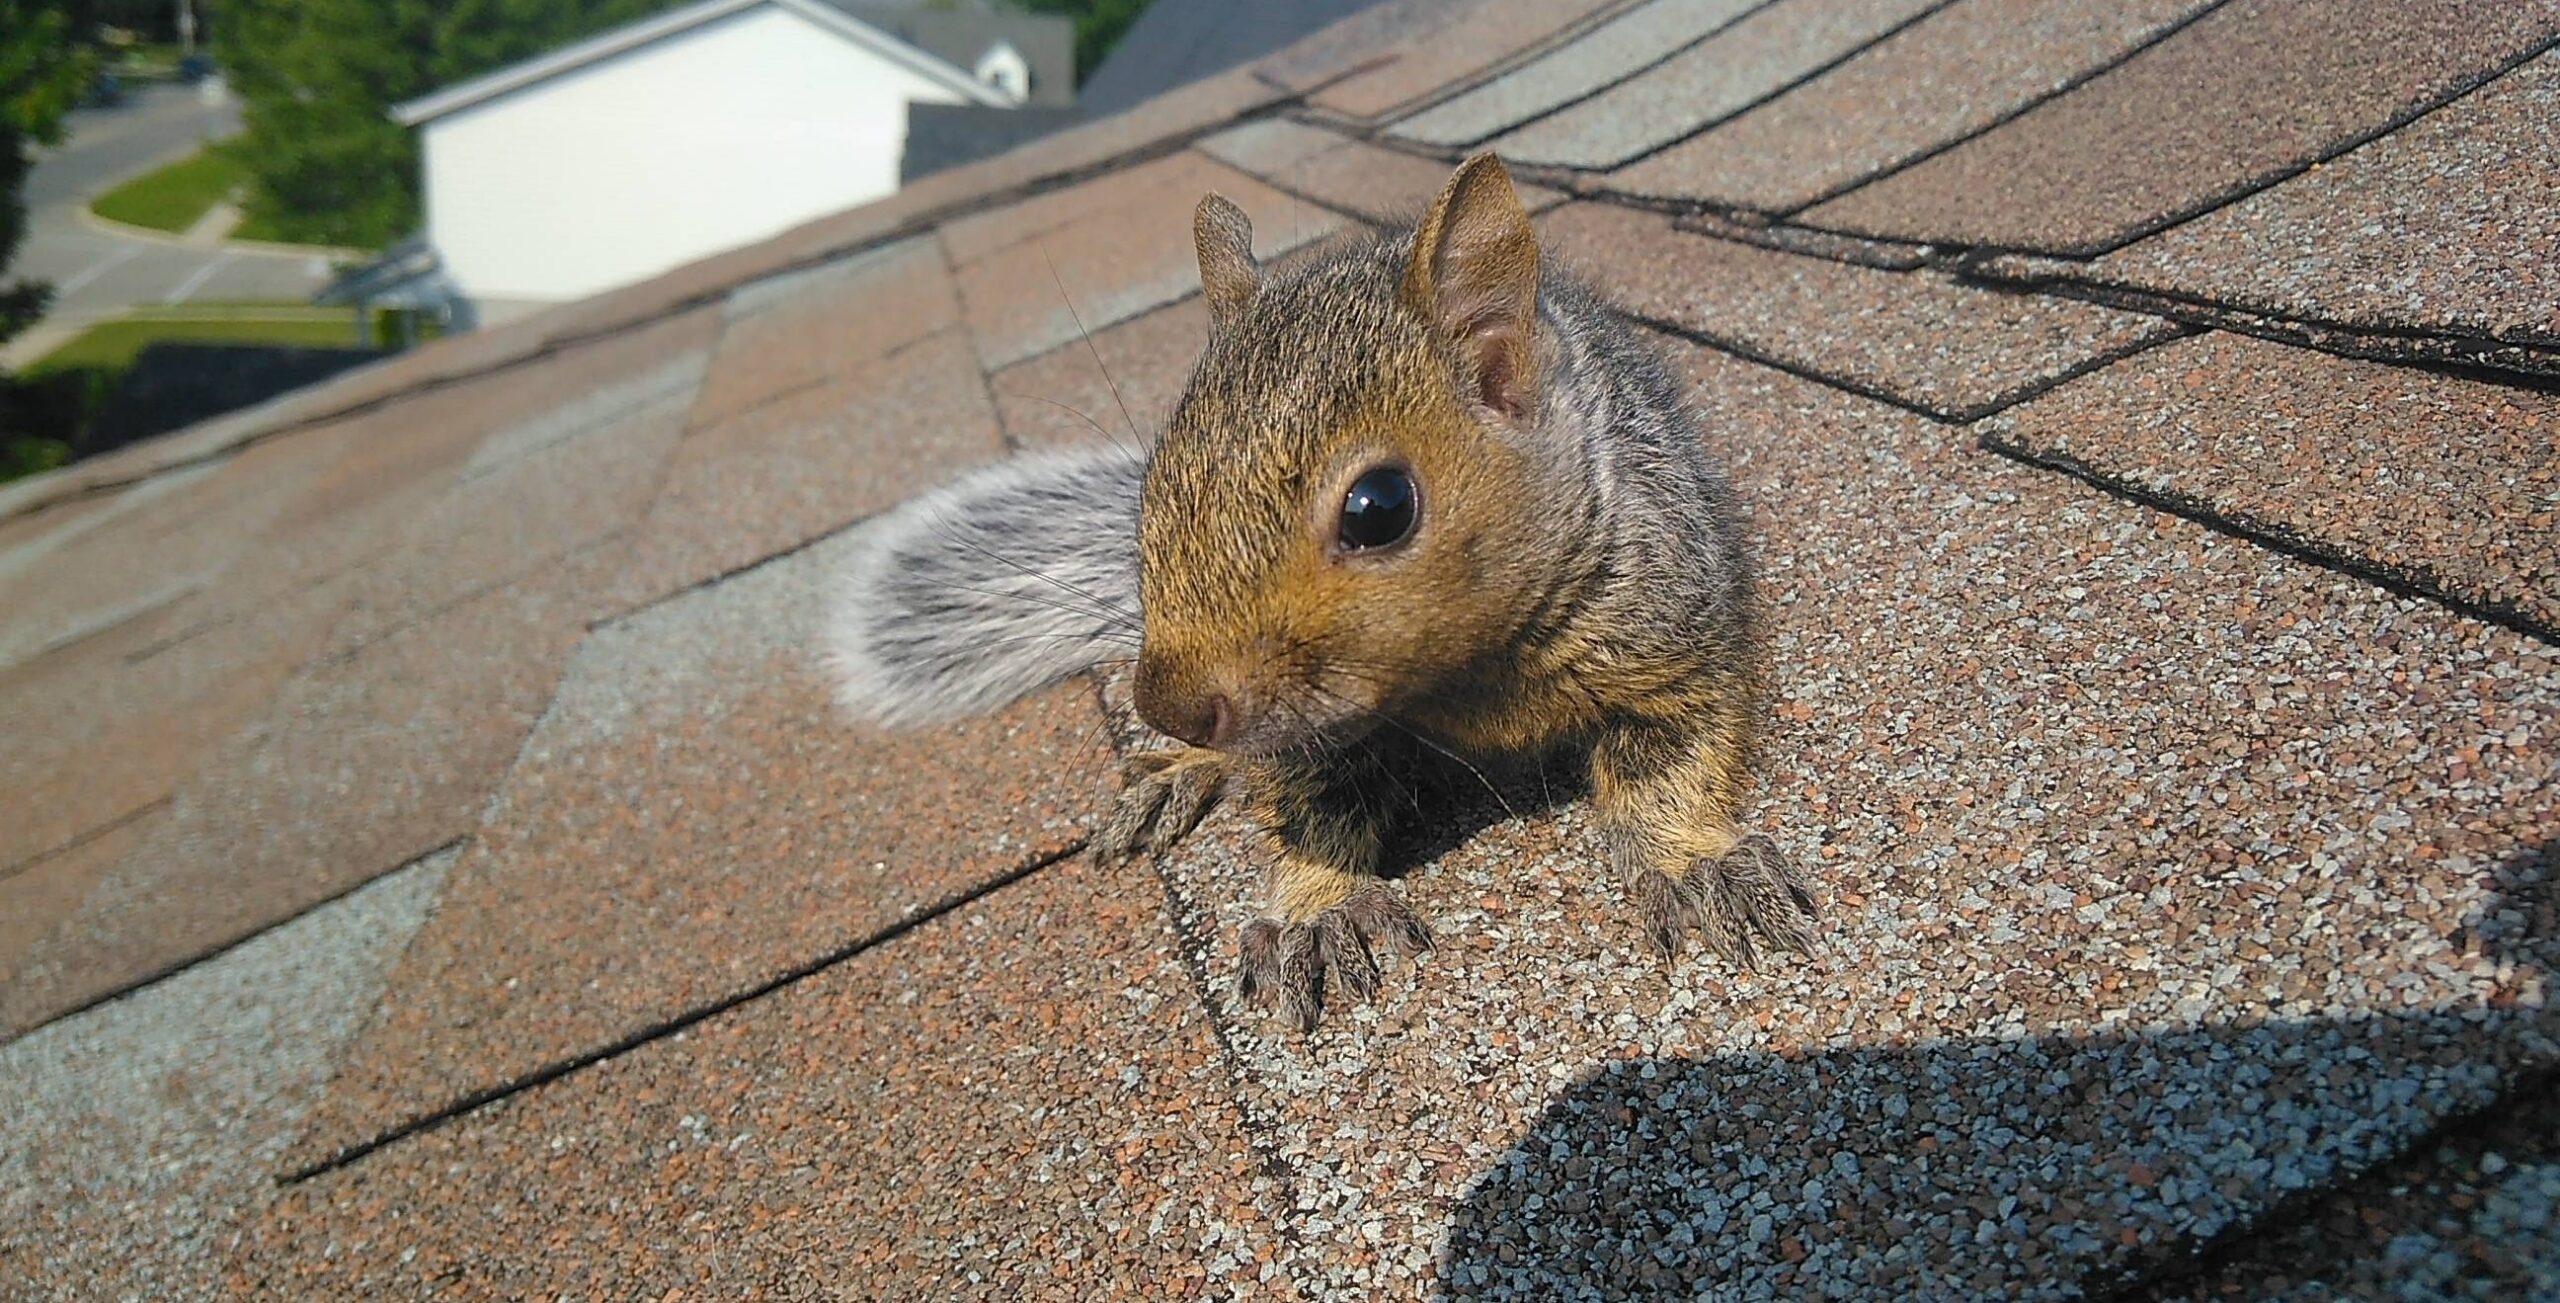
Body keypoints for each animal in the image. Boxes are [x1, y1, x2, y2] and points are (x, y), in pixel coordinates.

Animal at [827, 154, 1815, 1031]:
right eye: (1154, 488)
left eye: (1380, 508)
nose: (1170, 705)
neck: (1468, 671)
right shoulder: (1308, 733)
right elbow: (1312, 804)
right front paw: (1316, 907)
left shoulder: (1668, 624)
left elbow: (1669, 757)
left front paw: (1694, 862)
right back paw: (1178, 771)